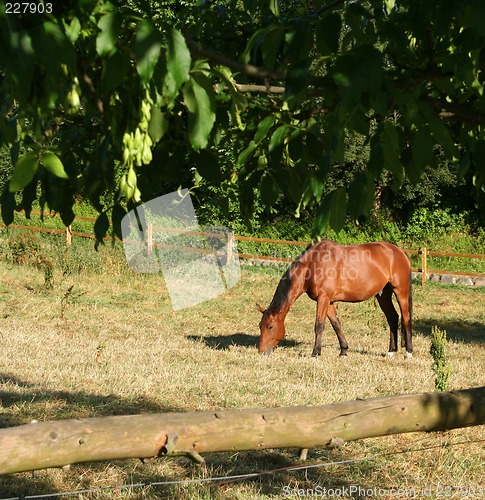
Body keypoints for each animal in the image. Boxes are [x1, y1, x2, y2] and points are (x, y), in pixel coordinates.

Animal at [258, 240, 412, 358]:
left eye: (270, 326)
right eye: (260, 326)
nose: (261, 351)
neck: (312, 264)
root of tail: (400, 252)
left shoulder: (323, 298)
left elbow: (319, 326)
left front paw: (315, 353)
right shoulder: (328, 301)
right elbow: (336, 325)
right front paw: (343, 351)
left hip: (401, 292)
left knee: (405, 318)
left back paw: (408, 352)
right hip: (383, 295)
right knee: (392, 318)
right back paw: (391, 351)